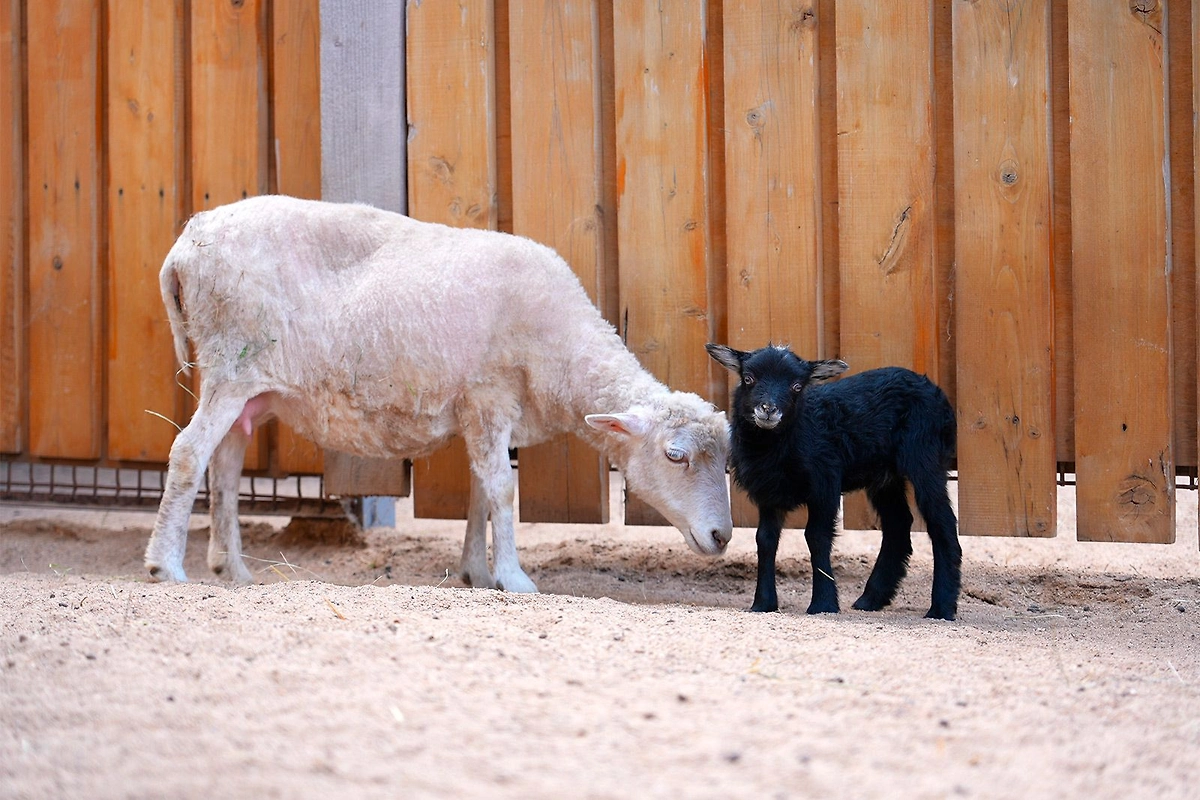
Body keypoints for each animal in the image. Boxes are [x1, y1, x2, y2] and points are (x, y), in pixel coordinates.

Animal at [144, 195, 733, 591]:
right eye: (674, 456)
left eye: (727, 462)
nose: (723, 537)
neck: (560, 345)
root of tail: (183, 247)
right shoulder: (489, 396)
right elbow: (502, 492)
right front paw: (514, 578)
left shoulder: (481, 413)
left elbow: (479, 493)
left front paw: (477, 572)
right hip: (231, 364)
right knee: (188, 453)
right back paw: (165, 564)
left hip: (248, 387)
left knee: (224, 465)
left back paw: (232, 567)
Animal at [706, 343, 961, 620]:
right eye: (748, 378)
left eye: (797, 386)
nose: (768, 409)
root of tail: (934, 390)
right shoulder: (770, 493)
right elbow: (765, 539)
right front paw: (763, 603)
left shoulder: (825, 483)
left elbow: (816, 536)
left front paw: (823, 603)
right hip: (884, 475)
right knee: (898, 524)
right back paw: (871, 599)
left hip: (925, 456)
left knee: (942, 523)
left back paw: (941, 606)